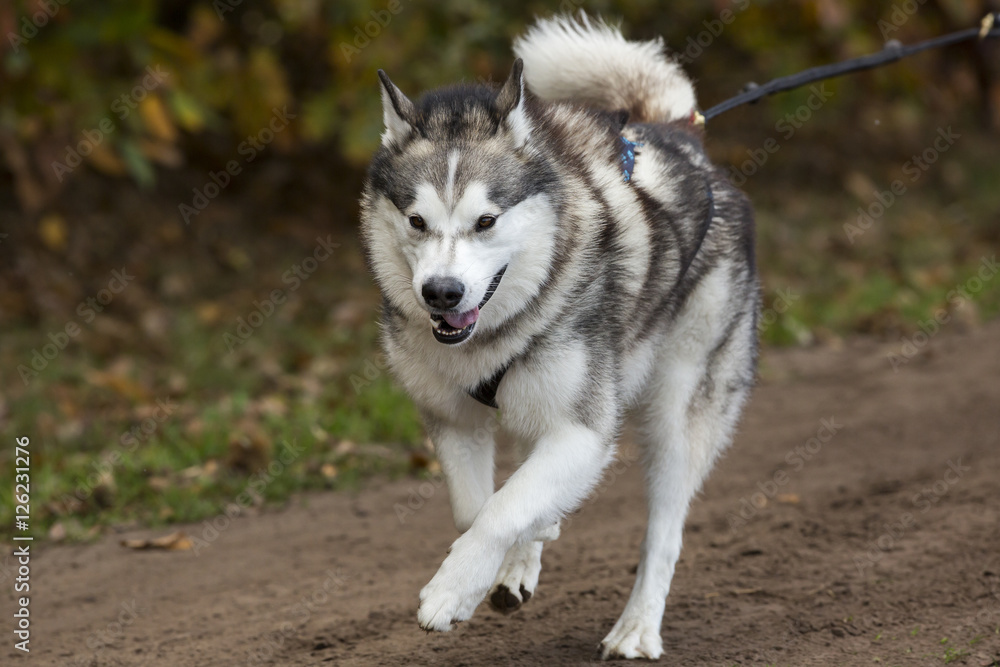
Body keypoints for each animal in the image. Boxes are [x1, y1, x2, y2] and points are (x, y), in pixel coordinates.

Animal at [360, 13, 756, 660]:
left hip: (678, 412)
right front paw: (513, 555)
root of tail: (683, 137)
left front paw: (450, 591)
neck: (490, 338)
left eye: (486, 221)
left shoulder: (582, 432)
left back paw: (637, 627)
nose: (441, 293)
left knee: (664, 531)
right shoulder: (452, 418)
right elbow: (478, 509)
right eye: (417, 221)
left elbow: (501, 511)